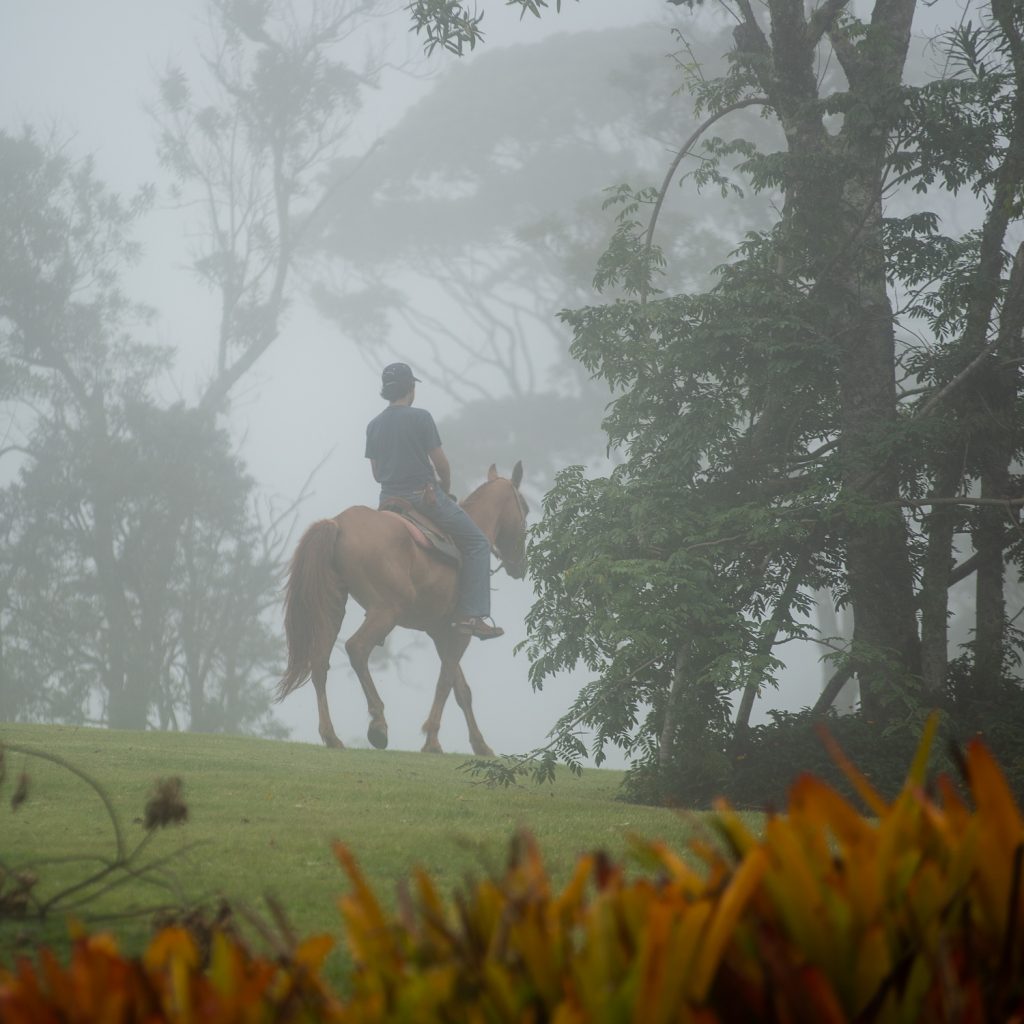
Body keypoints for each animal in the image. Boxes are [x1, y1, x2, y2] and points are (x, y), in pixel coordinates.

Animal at [276, 460, 524, 757]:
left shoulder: (440, 632)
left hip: (334, 608)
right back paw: (378, 724)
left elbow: (461, 689)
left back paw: (331, 736)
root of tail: (338, 524)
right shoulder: (460, 631)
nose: (520, 565)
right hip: (386, 611)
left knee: (320, 662)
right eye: (524, 508)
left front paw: (480, 745)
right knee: (357, 649)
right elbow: (446, 681)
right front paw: (432, 740)